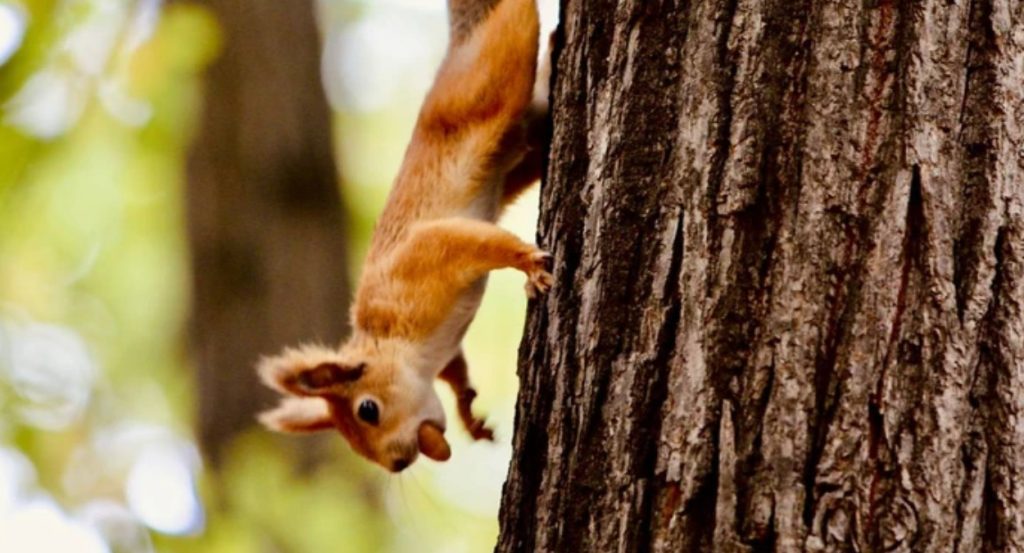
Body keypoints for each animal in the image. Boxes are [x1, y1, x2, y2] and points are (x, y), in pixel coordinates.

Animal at [256, 0, 552, 473]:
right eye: (353, 444)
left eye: (367, 410)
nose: (397, 464)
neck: (405, 346)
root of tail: (457, 48)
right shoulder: (444, 349)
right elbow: (457, 372)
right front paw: (470, 415)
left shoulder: (422, 259)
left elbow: (474, 243)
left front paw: (528, 262)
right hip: (523, 148)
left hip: (484, 83)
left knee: (514, 25)